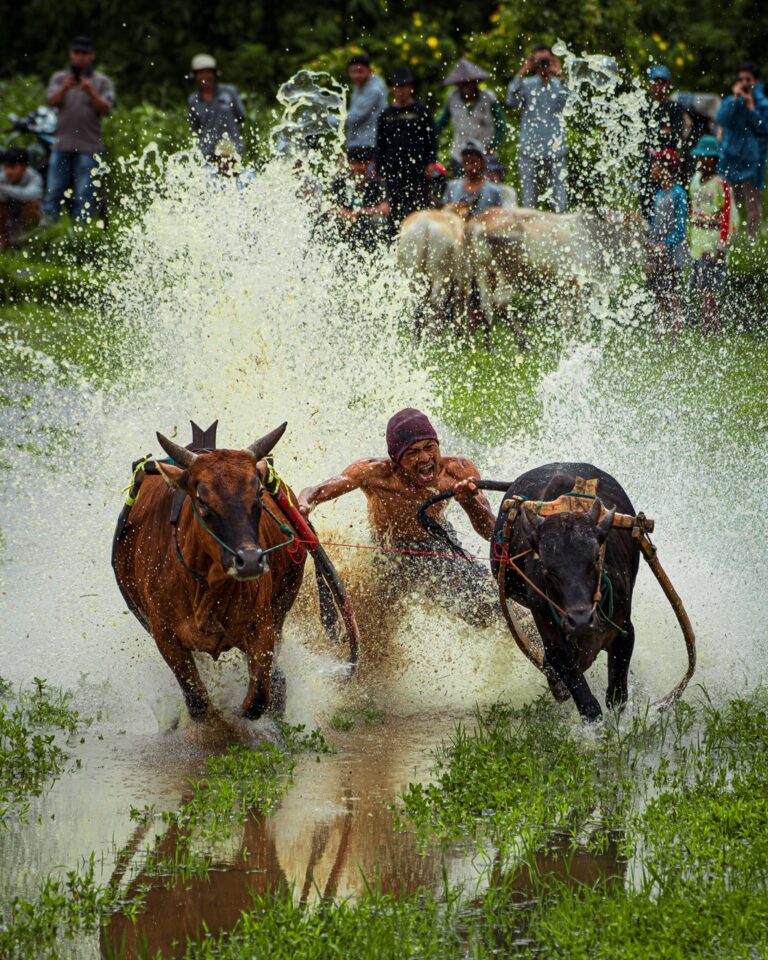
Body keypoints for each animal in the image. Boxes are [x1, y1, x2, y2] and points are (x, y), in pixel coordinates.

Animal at [112, 422, 304, 720]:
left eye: (259, 493)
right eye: (202, 499)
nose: (250, 560)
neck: (205, 589)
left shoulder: (263, 627)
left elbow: (257, 700)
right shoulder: (165, 637)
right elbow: (199, 704)